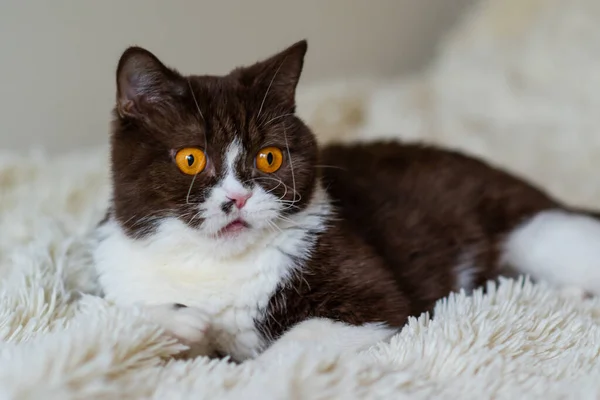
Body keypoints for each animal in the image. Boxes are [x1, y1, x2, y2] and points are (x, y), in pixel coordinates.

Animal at [91, 39, 600, 362]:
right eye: (191, 158)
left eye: (270, 157)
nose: (237, 198)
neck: (215, 265)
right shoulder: (121, 272)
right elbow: (114, 317)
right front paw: (179, 323)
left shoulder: (370, 298)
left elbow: (289, 352)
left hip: (539, 232)